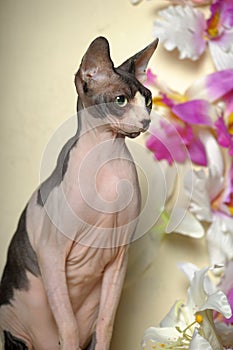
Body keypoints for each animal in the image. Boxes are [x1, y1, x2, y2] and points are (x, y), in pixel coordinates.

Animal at [0, 37, 158, 348]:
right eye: (120, 100)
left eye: (147, 100)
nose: (146, 121)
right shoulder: (51, 254)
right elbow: (68, 325)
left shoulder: (118, 258)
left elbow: (106, 325)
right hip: (14, 328)